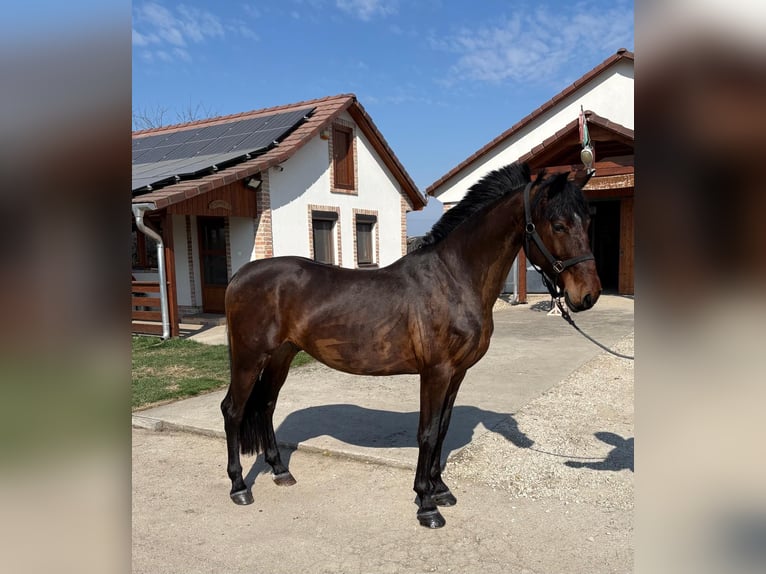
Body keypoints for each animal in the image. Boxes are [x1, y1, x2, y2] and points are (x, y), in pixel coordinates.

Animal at [221, 162, 601, 528]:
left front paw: (440, 489)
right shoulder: (435, 372)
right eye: (558, 225)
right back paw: (239, 487)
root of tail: (239, 277)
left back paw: (280, 471)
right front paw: (427, 504)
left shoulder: (457, 373)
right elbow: (428, 433)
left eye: (587, 221)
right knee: (234, 411)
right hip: (249, 358)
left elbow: (443, 429)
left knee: (266, 406)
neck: (454, 279)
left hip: (281, 355)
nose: (588, 295)